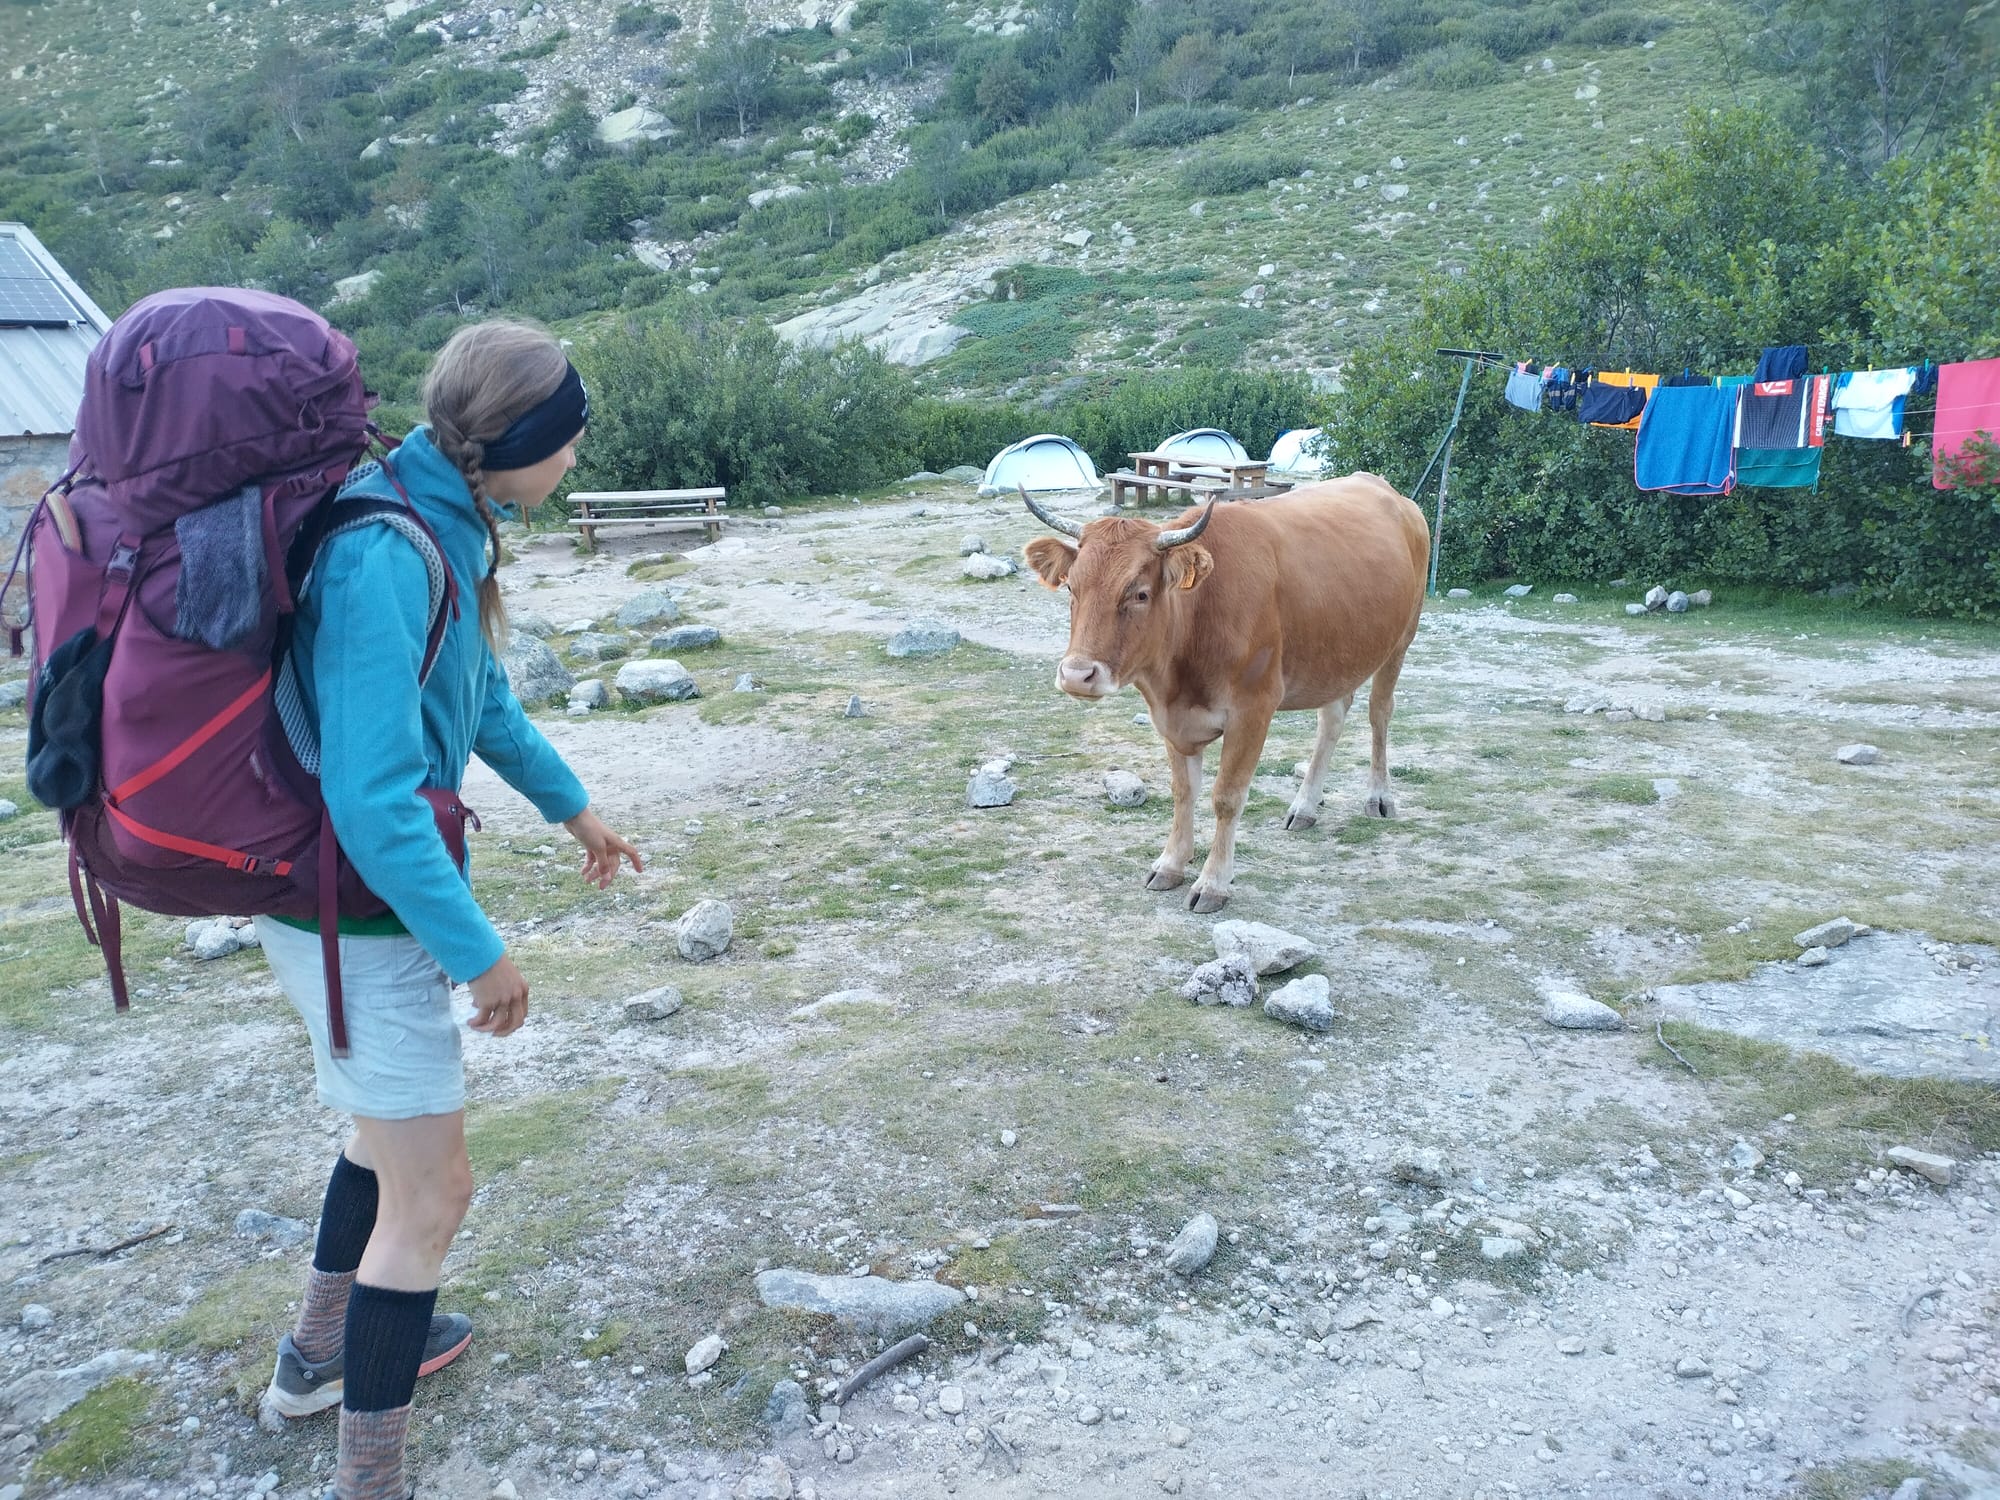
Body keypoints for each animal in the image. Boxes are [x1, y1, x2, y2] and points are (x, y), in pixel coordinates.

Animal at [1024, 476, 1432, 912]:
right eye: (1071, 587)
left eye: (1140, 593)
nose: (1076, 675)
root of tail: (1382, 487)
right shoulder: (1172, 719)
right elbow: (1183, 792)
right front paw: (1171, 863)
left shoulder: (1254, 709)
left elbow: (1227, 797)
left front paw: (1213, 882)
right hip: (1338, 655)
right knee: (1332, 720)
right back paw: (1305, 806)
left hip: (1400, 640)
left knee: (1380, 713)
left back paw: (1379, 797)